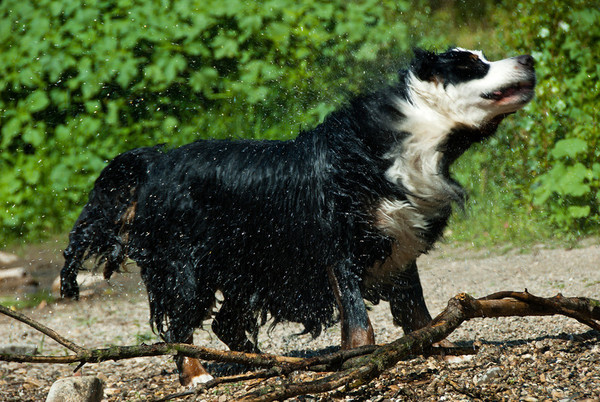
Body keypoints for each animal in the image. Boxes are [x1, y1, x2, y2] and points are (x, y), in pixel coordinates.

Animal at [61, 48, 536, 386]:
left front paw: (440, 349)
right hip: (187, 269)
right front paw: (362, 360)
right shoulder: (341, 250)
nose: (529, 59)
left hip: (246, 267)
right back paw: (198, 375)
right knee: (181, 326)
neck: (405, 141)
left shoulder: (399, 244)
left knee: (226, 323)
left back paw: (264, 363)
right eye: (472, 65)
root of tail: (154, 163)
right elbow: (360, 324)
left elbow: (418, 313)